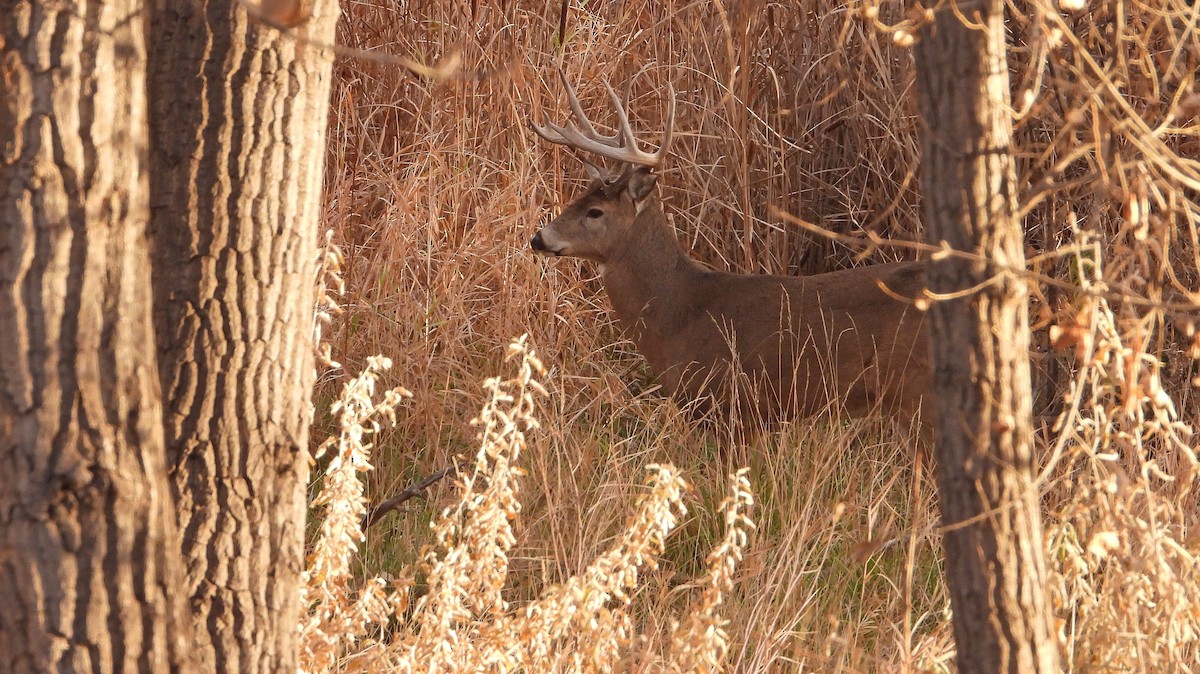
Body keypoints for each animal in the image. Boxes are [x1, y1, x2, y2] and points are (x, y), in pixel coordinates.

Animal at [530, 72, 932, 433]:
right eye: (577, 198)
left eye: (595, 212)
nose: (538, 238)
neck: (678, 313)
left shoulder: (727, 403)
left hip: (914, 394)